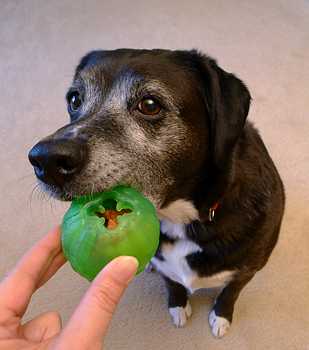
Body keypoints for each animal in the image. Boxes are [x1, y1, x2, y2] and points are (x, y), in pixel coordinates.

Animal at [28, 48, 284, 336]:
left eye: (149, 104)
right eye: (74, 99)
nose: (45, 160)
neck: (184, 221)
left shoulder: (247, 271)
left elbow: (230, 293)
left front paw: (221, 317)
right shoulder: (167, 269)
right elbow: (173, 284)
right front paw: (178, 306)